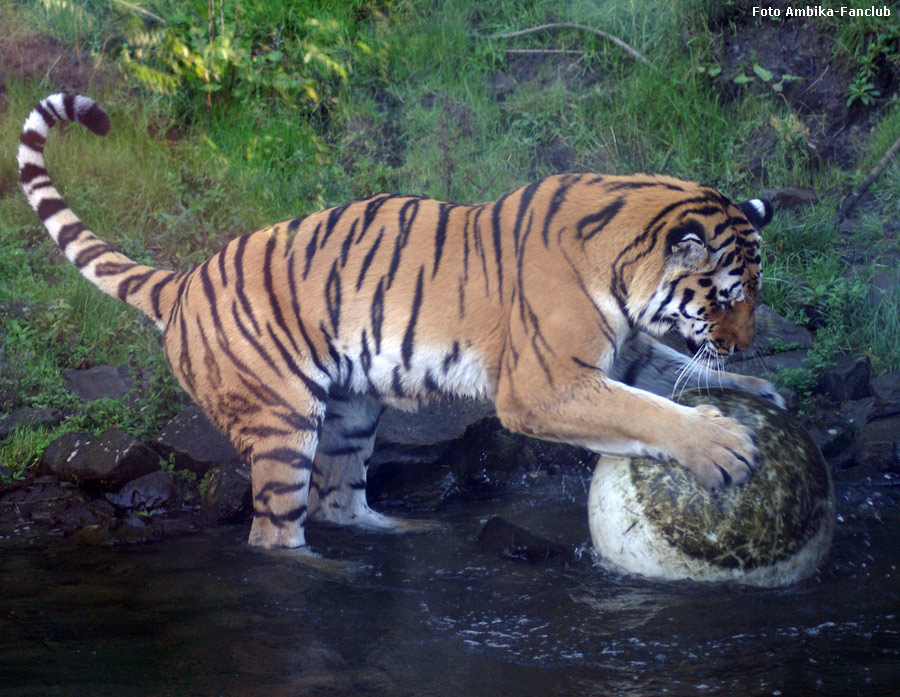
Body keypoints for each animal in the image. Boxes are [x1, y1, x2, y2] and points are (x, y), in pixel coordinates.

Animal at [19, 92, 780, 548]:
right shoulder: (545, 385)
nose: (745, 345)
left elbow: (670, 372)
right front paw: (722, 446)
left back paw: (403, 533)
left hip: (352, 410)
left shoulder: (621, 351)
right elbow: (643, 410)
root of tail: (182, 281)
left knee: (339, 500)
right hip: (281, 421)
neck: (620, 266)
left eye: (753, 292)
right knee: (276, 532)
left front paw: (759, 391)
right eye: (724, 296)